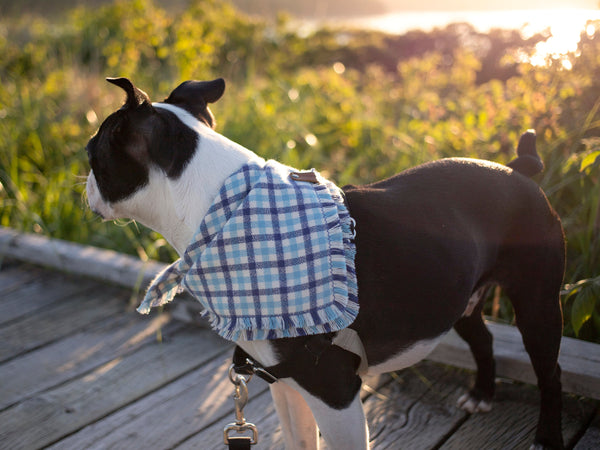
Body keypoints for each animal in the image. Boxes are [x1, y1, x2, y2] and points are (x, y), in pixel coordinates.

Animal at [85, 77, 568, 450]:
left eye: (93, 153)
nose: (83, 180)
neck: (224, 211)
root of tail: (518, 168)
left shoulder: (334, 392)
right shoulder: (286, 383)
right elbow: (300, 441)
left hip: (538, 303)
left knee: (550, 372)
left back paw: (546, 436)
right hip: (460, 297)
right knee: (483, 338)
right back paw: (481, 395)